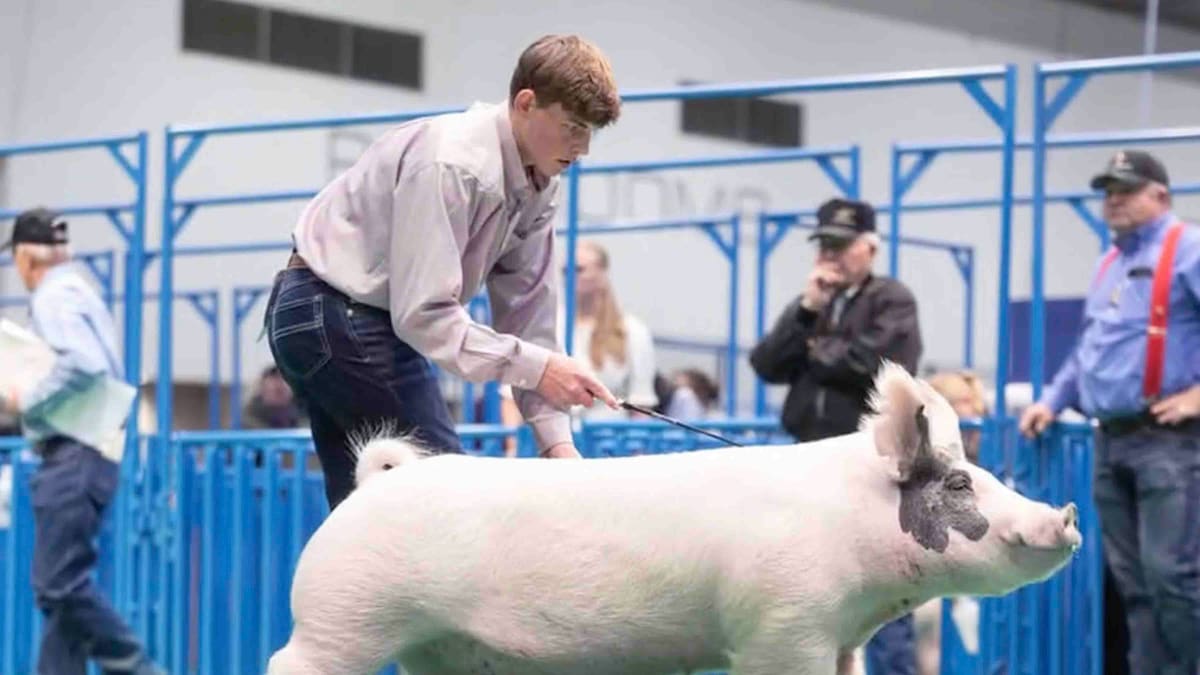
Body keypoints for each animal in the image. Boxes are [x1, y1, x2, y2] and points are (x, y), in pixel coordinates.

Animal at [267, 363, 1081, 675]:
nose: (1065, 514)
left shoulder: (842, 638)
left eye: (982, 474)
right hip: (342, 617)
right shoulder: (781, 626)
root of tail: (375, 483)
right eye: (959, 480)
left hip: (436, 649)